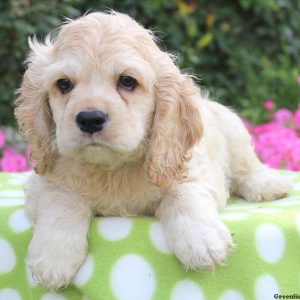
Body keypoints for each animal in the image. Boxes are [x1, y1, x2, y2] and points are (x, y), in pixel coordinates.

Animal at [15, 11, 292, 290]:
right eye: (63, 84)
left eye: (127, 81)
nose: (90, 119)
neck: (112, 168)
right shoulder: (42, 182)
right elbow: (62, 200)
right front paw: (53, 258)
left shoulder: (196, 172)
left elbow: (183, 194)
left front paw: (202, 241)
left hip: (234, 130)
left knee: (247, 167)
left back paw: (268, 184)